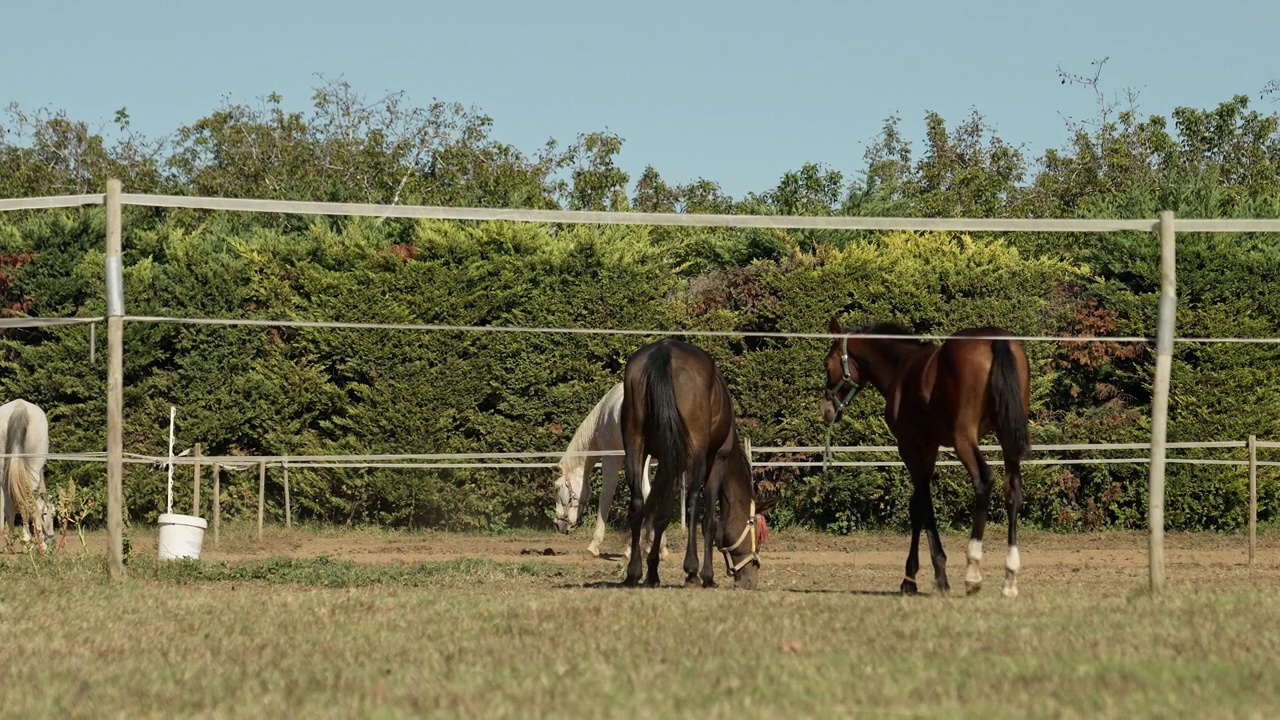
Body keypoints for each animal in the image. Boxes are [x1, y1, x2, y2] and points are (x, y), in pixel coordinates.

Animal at [616, 335, 768, 589]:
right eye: (755, 530)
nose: (750, 578)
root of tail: (664, 351)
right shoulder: (716, 460)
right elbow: (708, 519)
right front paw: (704, 574)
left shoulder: (667, 461)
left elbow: (662, 514)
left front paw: (652, 572)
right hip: (695, 455)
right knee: (694, 502)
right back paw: (693, 572)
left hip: (636, 447)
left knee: (637, 503)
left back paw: (633, 573)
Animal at [824, 317, 1034, 594]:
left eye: (827, 364)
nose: (827, 410)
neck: (902, 368)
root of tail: (996, 341)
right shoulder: (930, 449)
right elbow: (917, 507)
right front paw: (910, 578)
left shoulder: (909, 448)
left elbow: (924, 504)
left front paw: (936, 575)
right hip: (1007, 435)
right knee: (1012, 487)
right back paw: (1010, 577)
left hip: (964, 439)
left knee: (984, 481)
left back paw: (973, 571)